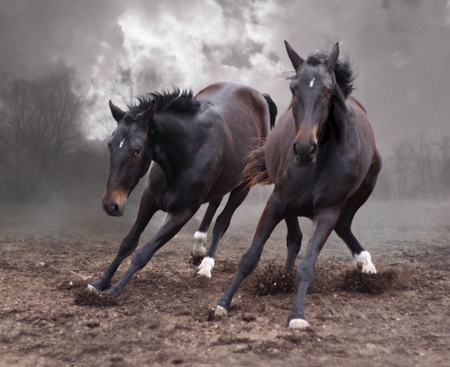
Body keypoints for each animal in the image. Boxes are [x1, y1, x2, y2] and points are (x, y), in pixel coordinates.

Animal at [87, 81, 276, 296]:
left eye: (136, 151)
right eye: (110, 145)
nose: (110, 205)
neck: (188, 151)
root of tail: (259, 95)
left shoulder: (182, 212)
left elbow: (144, 252)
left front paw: (116, 288)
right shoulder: (149, 199)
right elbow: (128, 243)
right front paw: (100, 281)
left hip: (243, 186)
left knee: (222, 221)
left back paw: (206, 267)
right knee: (215, 203)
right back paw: (199, 250)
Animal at [215, 42, 384, 330]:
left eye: (328, 91)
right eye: (294, 88)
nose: (304, 149)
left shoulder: (327, 211)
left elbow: (308, 265)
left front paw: (297, 315)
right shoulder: (277, 201)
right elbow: (250, 257)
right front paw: (222, 303)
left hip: (366, 186)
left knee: (342, 224)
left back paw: (366, 265)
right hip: (289, 203)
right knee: (295, 237)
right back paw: (282, 278)